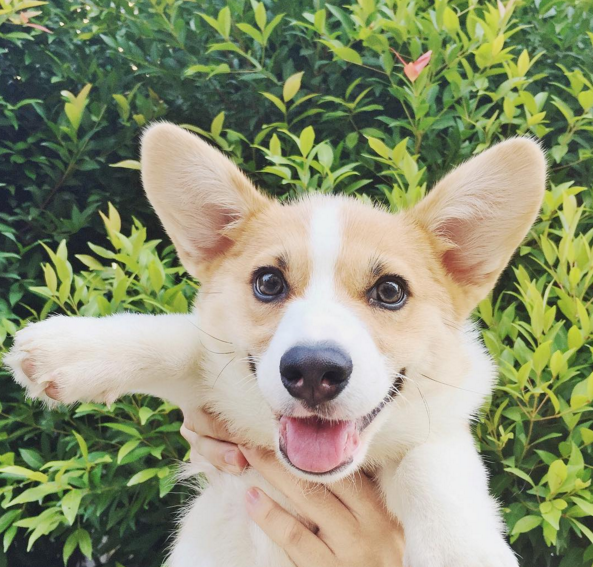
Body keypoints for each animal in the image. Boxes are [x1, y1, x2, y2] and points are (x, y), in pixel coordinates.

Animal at [6, 123, 546, 567]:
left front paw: (462, 549)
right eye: (268, 282)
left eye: (390, 291)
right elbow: (183, 339)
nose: (313, 372)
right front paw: (70, 349)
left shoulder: (444, 423)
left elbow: (430, 462)